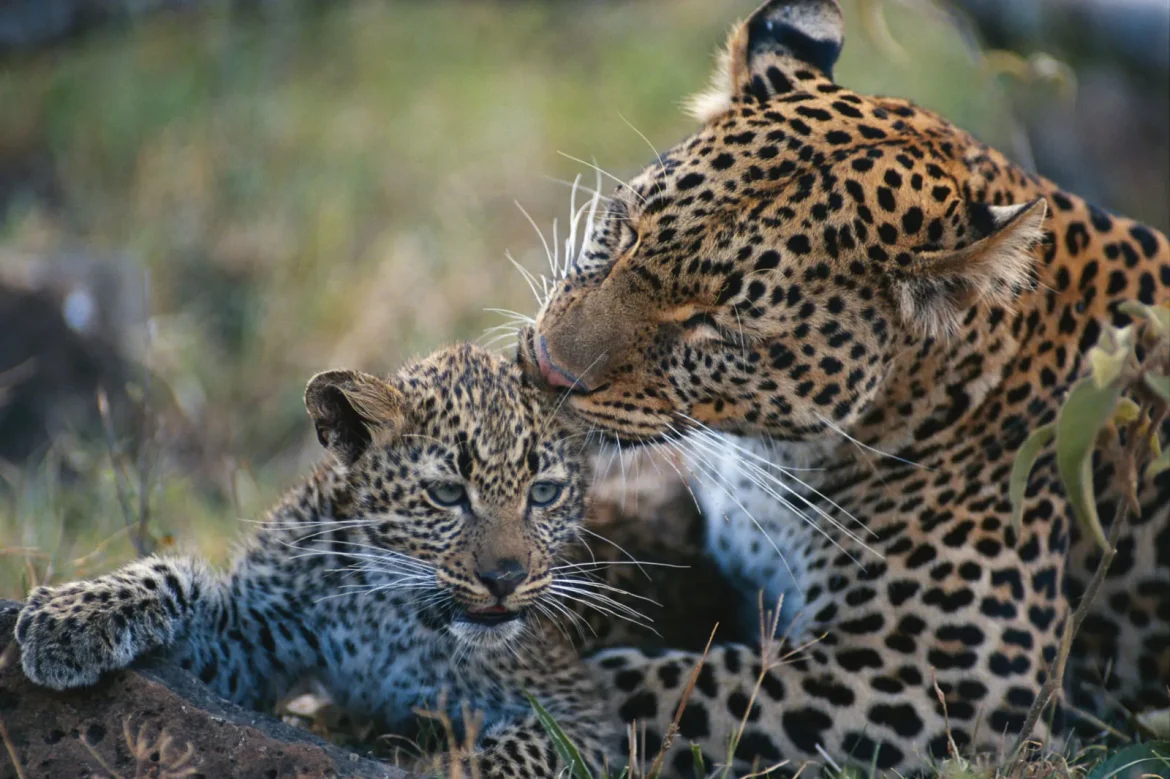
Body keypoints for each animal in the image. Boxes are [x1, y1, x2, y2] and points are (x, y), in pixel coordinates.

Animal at [15, 343, 618, 778]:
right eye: (447, 494)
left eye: (544, 494)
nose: (504, 578)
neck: (392, 609)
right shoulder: (244, 643)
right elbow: (175, 576)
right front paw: (70, 616)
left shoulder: (583, 713)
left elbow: (517, 750)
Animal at [517, 0, 1170, 774]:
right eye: (625, 232)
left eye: (717, 326)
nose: (545, 369)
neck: (774, 456)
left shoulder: (947, 679)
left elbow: (665, 691)